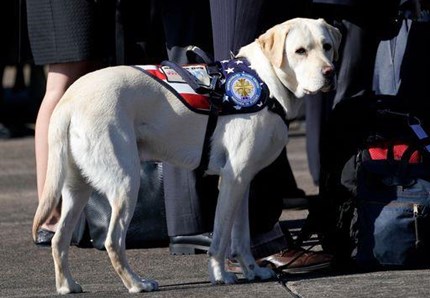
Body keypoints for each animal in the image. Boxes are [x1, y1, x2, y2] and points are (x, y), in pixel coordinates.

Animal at [31, 18, 340, 294]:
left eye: (327, 46)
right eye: (300, 51)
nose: (330, 73)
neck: (266, 82)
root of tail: (69, 100)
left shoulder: (243, 181)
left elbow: (241, 237)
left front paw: (253, 271)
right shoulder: (232, 178)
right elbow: (221, 237)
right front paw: (221, 275)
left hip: (77, 190)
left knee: (59, 241)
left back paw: (67, 286)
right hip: (125, 184)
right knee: (113, 242)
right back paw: (136, 283)